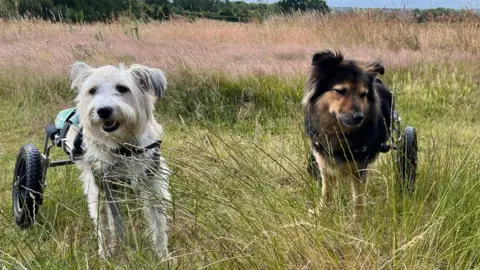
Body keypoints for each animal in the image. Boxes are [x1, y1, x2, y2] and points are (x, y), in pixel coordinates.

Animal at [65, 62, 171, 258]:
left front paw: (163, 256)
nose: (103, 110)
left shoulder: (152, 182)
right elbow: (104, 224)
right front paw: (105, 253)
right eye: (92, 90)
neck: (122, 147)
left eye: (122, 88)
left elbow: (159, 223)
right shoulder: (99, 187)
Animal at [304, 49, 394, 220]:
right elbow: (326, 192)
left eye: (363, 94)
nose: (359, 117)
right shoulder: (324, 163)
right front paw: (322, 212)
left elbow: (358, 200)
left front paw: (357, 222)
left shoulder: (359, 168)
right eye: (340, 91)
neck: (339, 133)